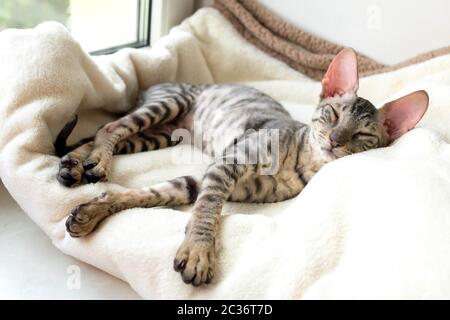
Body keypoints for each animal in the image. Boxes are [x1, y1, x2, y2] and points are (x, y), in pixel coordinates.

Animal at [55, 48, 428, 286]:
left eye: (362, 134)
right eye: (333, 114)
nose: (336, 140)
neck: (301, 161)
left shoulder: (203, 178)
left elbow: (146, 194)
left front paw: (91, 212)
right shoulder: (224, 167)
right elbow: (206, 210)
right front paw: (199, 251)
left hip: (157, 136)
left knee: (99, 136)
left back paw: (75, 165)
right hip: (168, 105)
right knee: (110, 127)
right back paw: (95, 163)